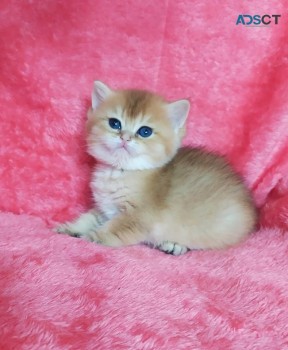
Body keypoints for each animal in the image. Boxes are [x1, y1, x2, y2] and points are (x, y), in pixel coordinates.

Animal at [56, 80, 256, 254]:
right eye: (114, 123)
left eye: (145, 131)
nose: (125, 138)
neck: (120, 172)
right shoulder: (105, 209)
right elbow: (89, 218)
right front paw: (70, 228)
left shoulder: (136, 218)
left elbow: (105, 232)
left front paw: (87, 237)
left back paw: (174, 245)